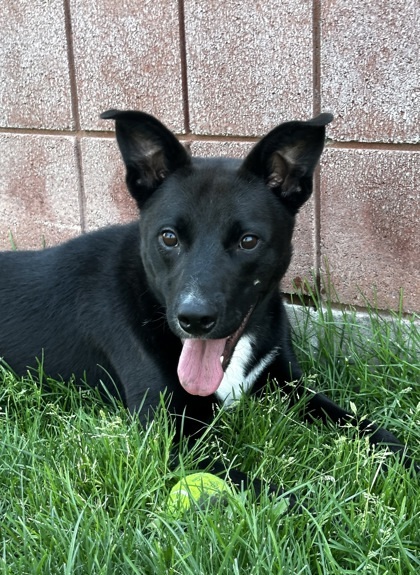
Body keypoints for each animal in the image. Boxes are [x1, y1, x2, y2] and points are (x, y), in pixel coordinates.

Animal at [0, 111, 416, 496]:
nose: (194, 319)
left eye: (248, 241)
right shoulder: (169, 438)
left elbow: (364, 426)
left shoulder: (289, 384)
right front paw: (320, 507)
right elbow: (274, 494)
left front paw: (407, 459)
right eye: (168, 237)